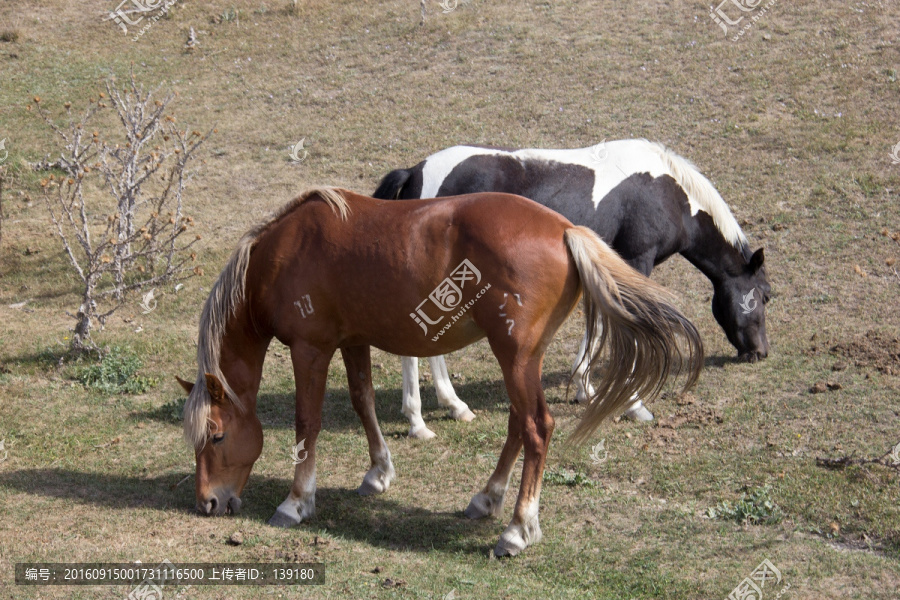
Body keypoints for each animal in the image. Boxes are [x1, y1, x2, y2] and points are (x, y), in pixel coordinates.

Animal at [178, 189, 704, 556]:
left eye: (217, 436)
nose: (207, 503)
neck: (284, 253)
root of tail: (565, 230)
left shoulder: (311, 350)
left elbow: (308, 422)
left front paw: (296, 501)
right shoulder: (352, 342)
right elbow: (363, 400)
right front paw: (379, 473)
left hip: (515, 355)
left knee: (537, 427)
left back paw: (517, 529)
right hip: (520, 360)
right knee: (518, 424)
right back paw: (487, 499)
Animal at [376, 141, 768, 440]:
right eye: (765, 295)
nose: (761, 352)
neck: (669, 193)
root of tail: (415, 171)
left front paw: (584, 388)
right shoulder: (636, 260)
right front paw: (634, 404)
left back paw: (454, 406)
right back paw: (418, 422)